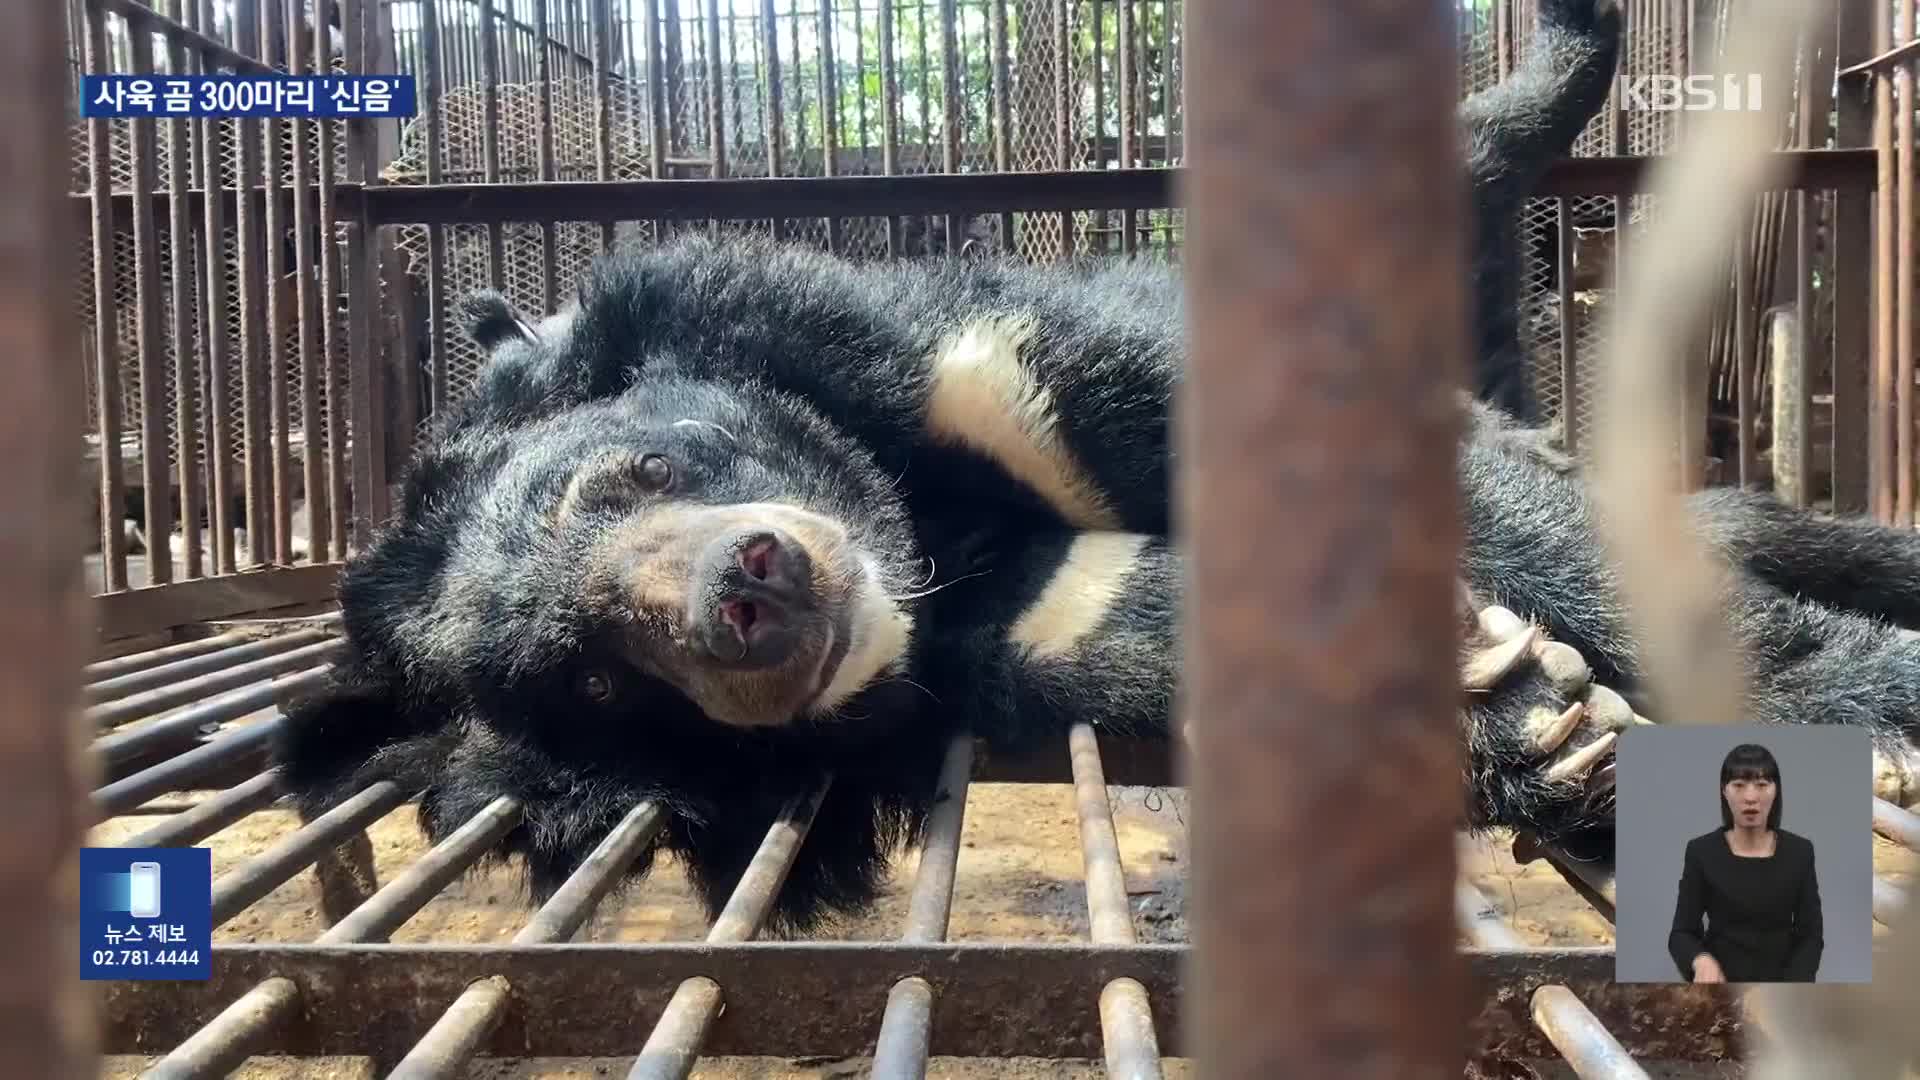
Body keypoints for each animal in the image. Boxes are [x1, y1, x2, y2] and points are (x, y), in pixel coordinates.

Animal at [270, 0, 1920, 930]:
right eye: (598, 680)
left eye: (616, 482)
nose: (752, 594)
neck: (913, 522)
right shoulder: (985, 627)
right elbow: (1128, 617)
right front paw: (1537, 715)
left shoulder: (955, 355)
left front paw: (1850, 712)